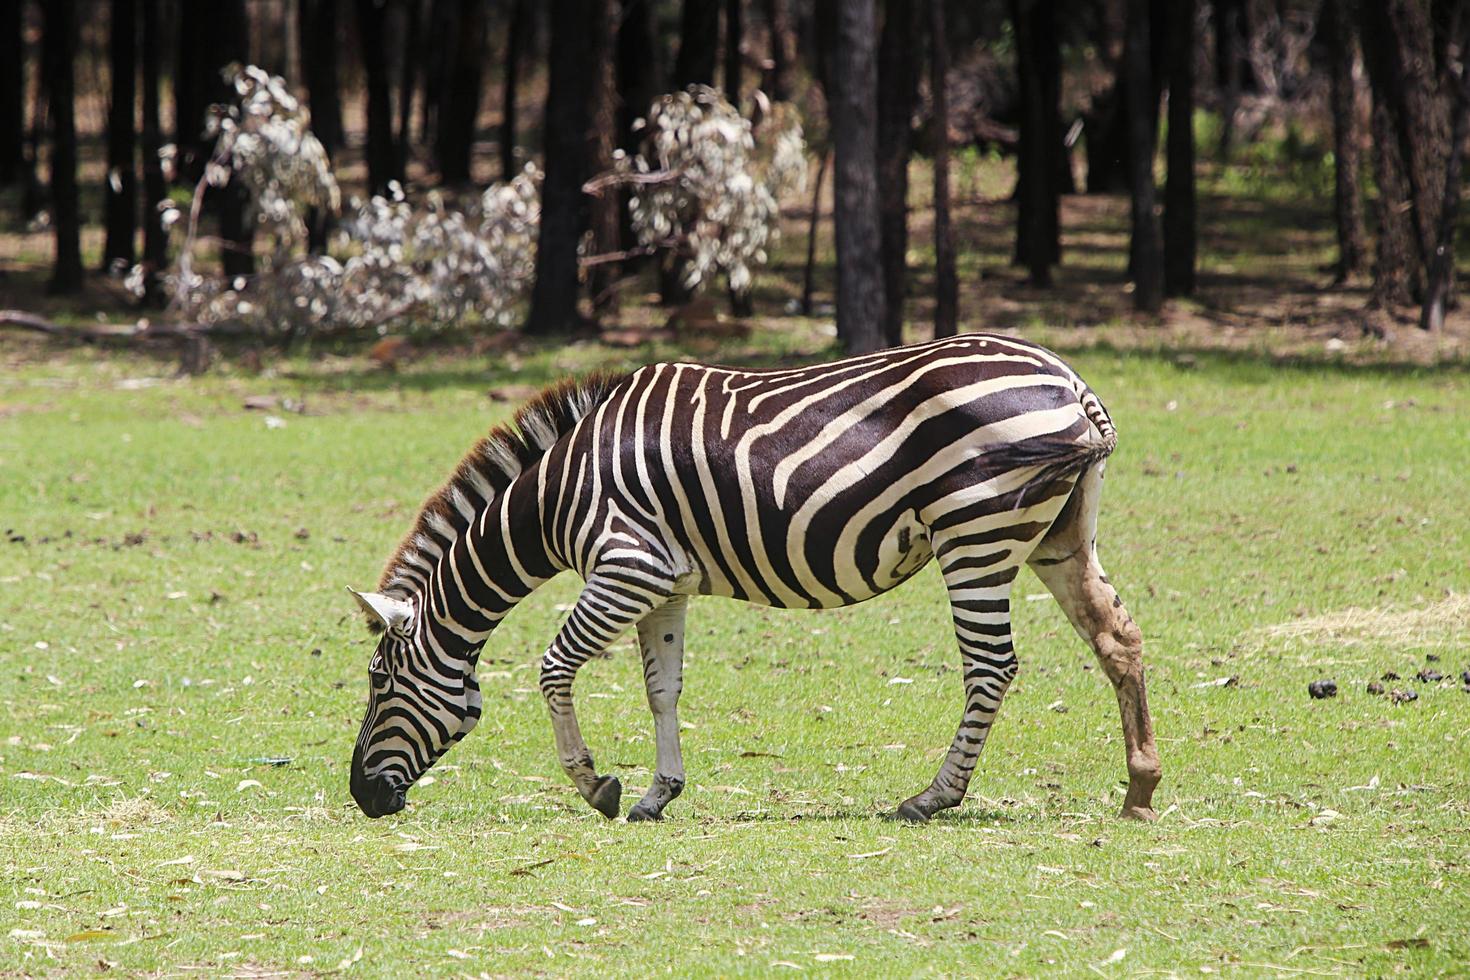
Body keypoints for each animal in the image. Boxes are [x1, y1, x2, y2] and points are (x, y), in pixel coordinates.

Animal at [343, 333, 1158, 822]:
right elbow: (662, 689)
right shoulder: (664, 583)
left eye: (381, 684)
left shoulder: (627, 567)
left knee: (993, 666)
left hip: (974, 533)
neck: (556, 494)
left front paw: (596, 786)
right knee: (1117, 637)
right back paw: (1140, 789)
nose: (362, 797)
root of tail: (1070, 381)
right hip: (1058, 537)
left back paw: (932, 797)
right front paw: (658, 794)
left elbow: (552, 669)